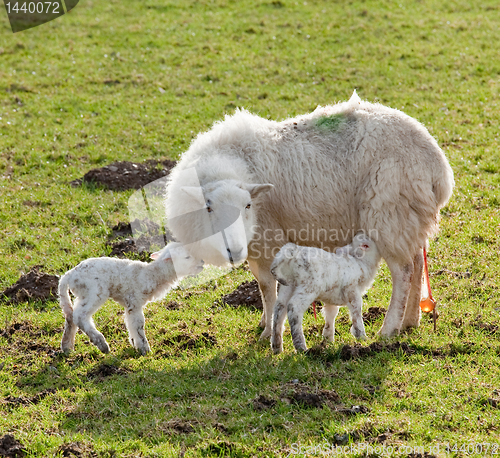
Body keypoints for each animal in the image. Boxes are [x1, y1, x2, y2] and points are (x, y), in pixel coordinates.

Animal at [59, 243, 204, 354]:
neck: (151, 274)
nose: (202, 262)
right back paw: (102, 344)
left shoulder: (130, 304)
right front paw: (145, 349)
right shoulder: (135, 301)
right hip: (94, 291)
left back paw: (67, 347)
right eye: (187, 257)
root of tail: (68, 276)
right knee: (80, 316)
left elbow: (130, 324)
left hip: (83, 294)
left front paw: (136, 345)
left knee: (70, 315)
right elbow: (138, 324)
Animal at [166, 91, 456, 338]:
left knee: (404, 271)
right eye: (208, 207)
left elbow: (268, 288)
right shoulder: (255, 245)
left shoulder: (268, 238)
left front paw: (269, 330)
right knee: (417, 262)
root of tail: (438, 166)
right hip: (409, 217)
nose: (233, 251)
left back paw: (389, 328)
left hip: (389, 214)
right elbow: (261, 285)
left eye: (247, 206)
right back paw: (410, 321)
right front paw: (265, 321)